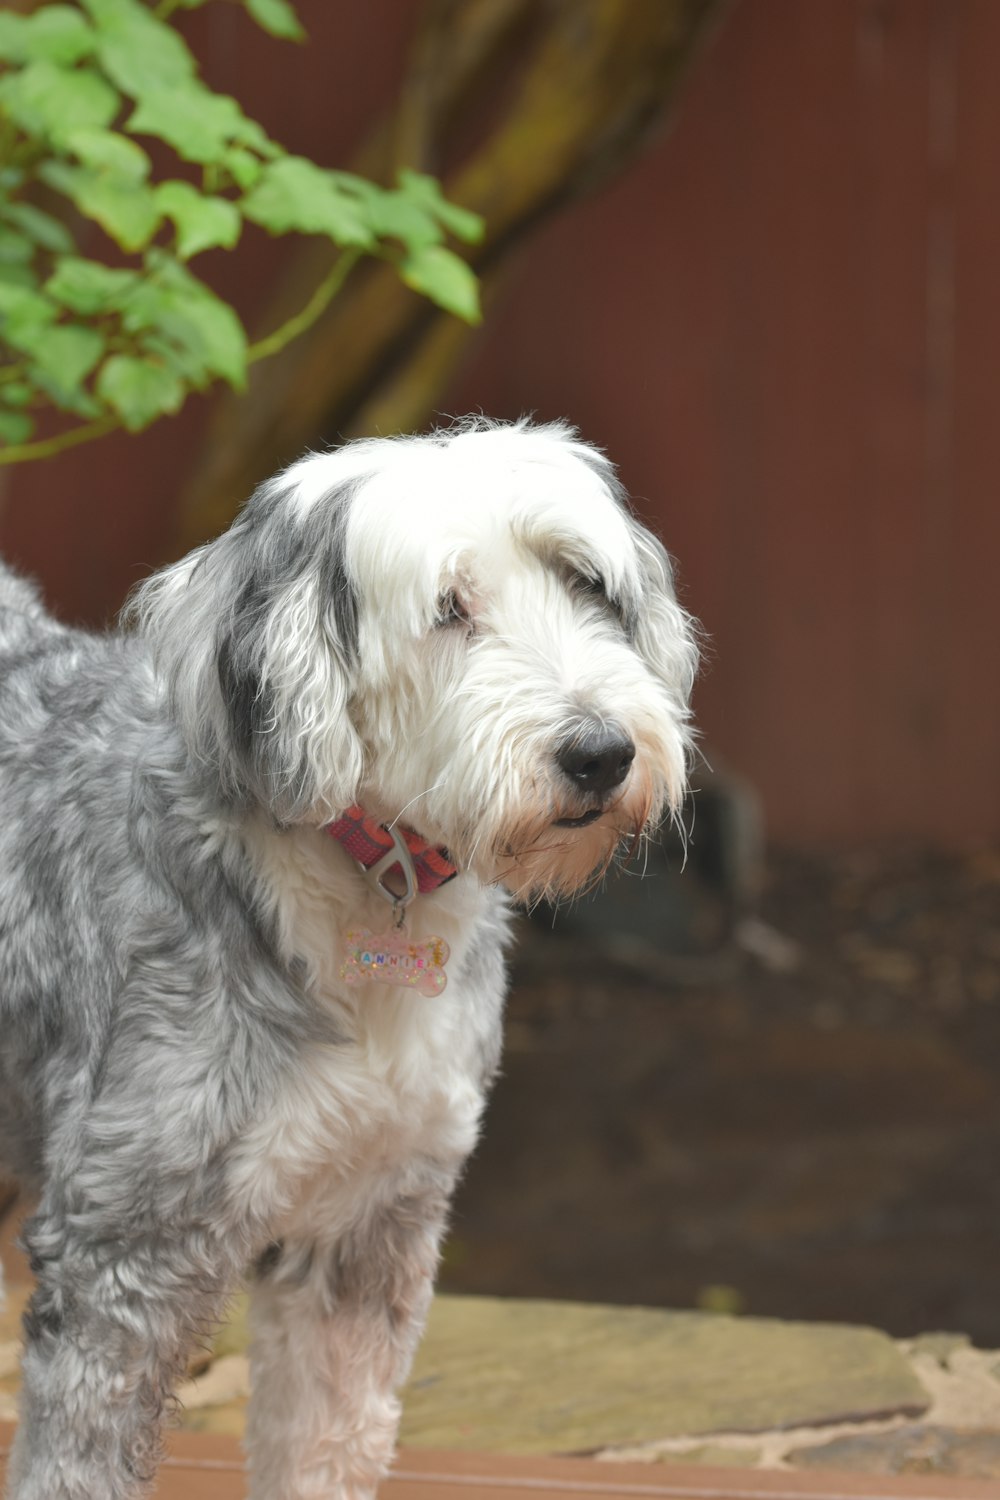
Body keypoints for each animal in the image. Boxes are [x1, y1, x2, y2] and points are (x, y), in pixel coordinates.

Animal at [0, 420, 695, 1500]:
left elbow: (325, 1443)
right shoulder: (122, 1249)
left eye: (585, 583)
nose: (600, 754)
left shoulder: (368, 1217)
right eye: (448, 608)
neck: (363, 886)